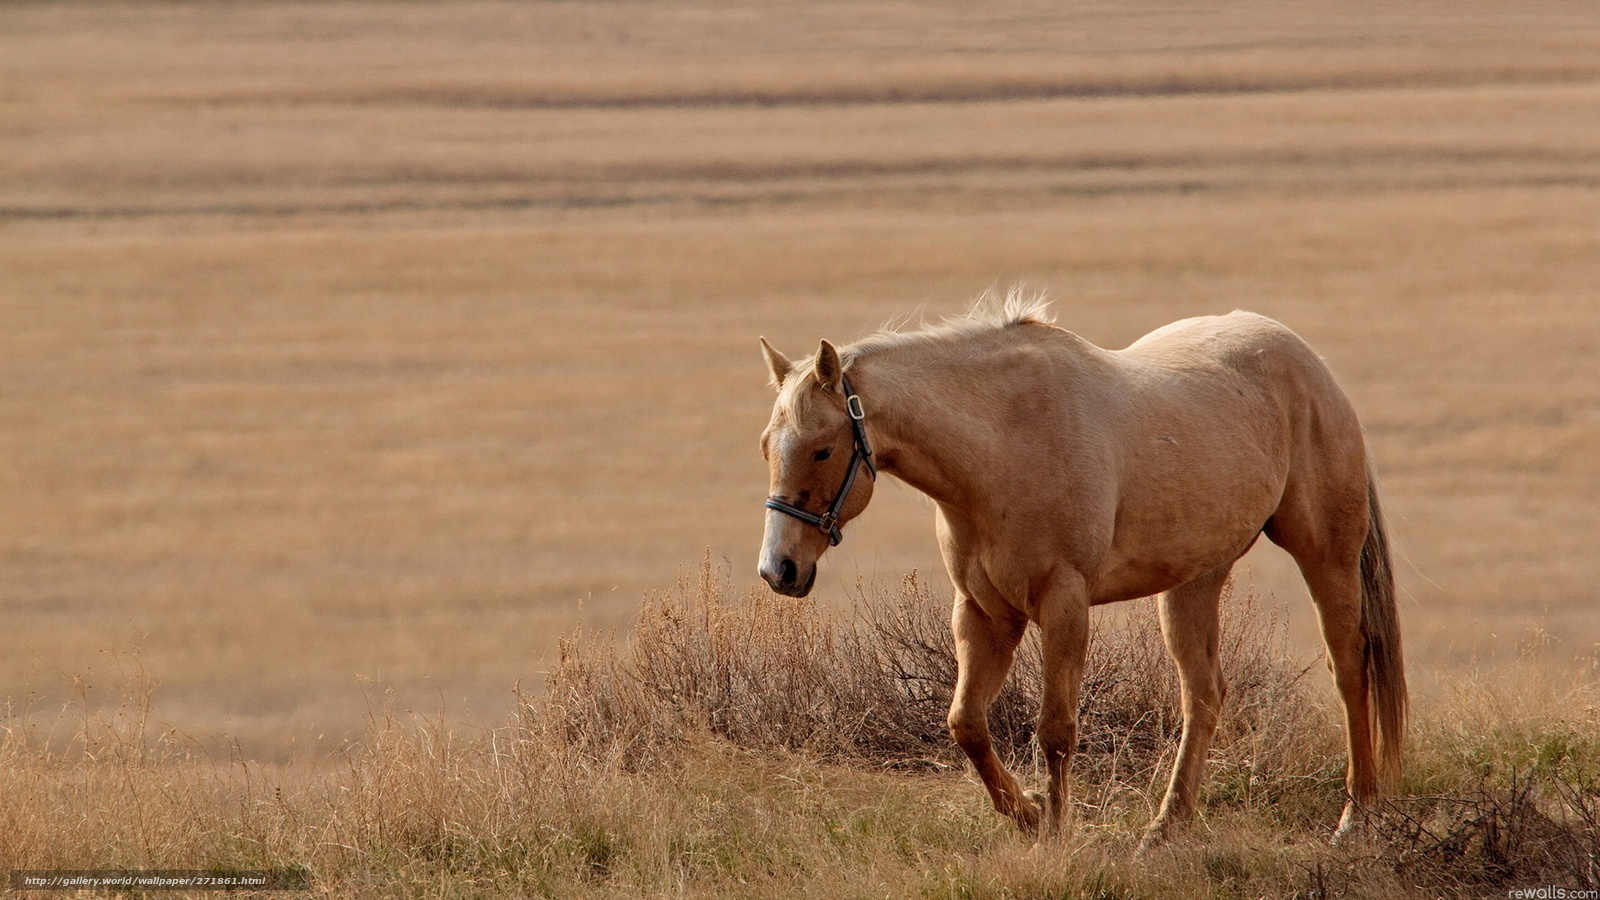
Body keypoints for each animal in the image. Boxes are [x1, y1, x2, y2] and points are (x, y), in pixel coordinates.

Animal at [756, 294, 1406, 847]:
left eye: (821, 448)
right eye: (767, 444)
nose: (779, 569)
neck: (1006, 444)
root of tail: (1308, 364)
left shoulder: (1063, 604)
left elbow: (1056, 729)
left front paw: (1056, 829)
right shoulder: (985, 613)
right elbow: (966, 723)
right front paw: (1027, 813)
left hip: (1326, 559)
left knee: (1350, 670)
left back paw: (1356, 816)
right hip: (1194, 581)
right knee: (1203, 694)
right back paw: (1166, 826)